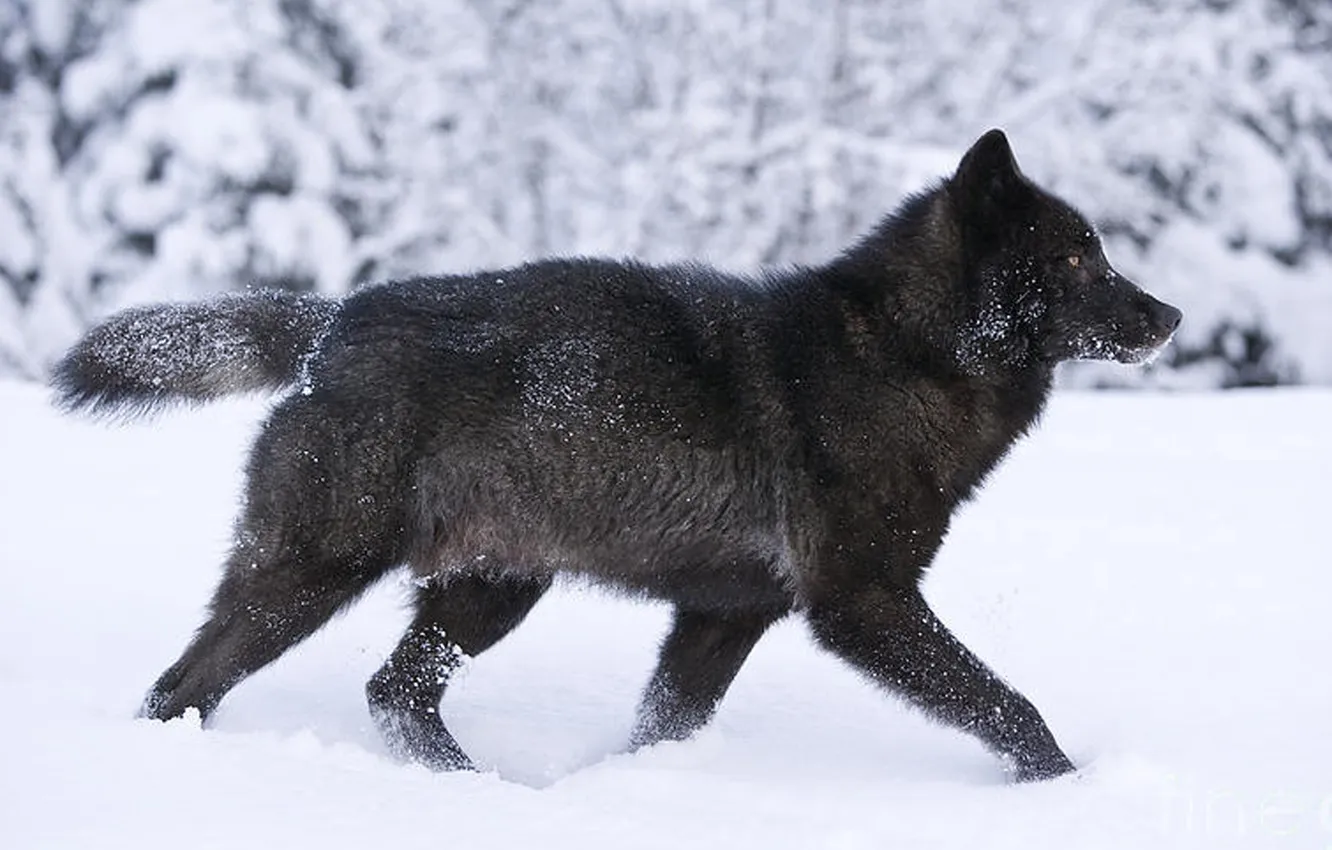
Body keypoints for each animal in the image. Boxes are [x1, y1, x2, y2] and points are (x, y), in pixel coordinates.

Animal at [53, 130, 1180, 782]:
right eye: (1079, 257)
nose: (1169, 314)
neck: (907, 352)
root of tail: (338, 321)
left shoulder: (725, 615)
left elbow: (662, 727)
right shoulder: (862, 603)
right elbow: (1009, 703)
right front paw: (1069, 790)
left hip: (492, 592)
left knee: (394, 692)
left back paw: (477, 793)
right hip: (311, 576)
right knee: (185, 685)